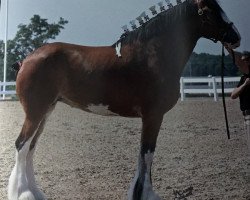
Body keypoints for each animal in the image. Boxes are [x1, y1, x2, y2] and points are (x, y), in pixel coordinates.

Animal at [7, 0, 240, 199]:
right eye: (208, 10)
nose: (236, 37)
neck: (154, 55)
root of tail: (26, 60)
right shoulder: (153, 116)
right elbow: (147, 154)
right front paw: (144, 195)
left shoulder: (151, 117)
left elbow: (144, 156)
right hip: (35, 112)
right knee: (21, 145)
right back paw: (23, 194)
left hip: (45, 111)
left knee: (30, 148)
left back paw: (35, 193)